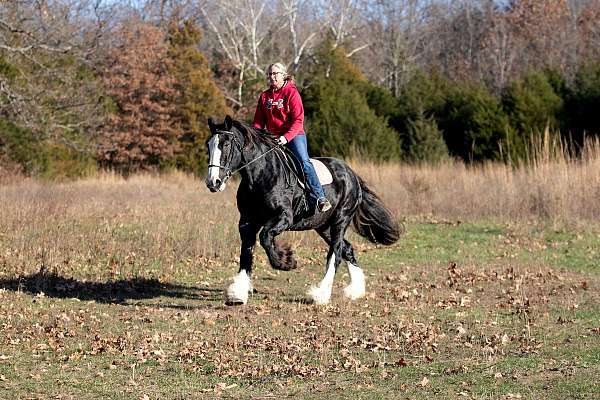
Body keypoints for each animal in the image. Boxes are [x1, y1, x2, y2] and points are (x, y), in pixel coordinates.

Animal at [204, 117, 400, 304]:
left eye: (226, 144)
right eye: (208, 145)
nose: (213, 182)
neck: (261, 175)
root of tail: (352, 174)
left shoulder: (284, 217)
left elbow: (265, 237)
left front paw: (286, 261)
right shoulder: (247, 221)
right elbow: (246, 252)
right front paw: (237, 294)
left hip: (341, 219)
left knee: (336, 253)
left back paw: (321, 294)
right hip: (323, 226)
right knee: (348, 249)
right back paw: (355, 290)